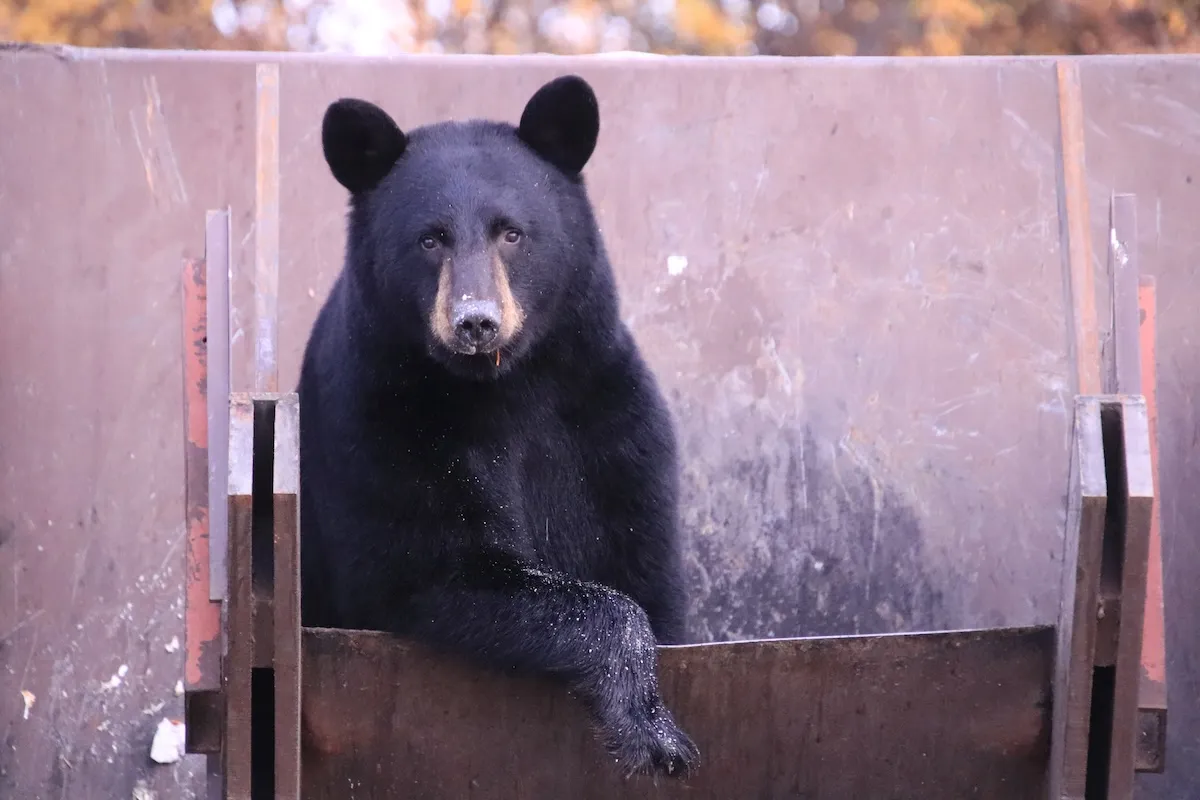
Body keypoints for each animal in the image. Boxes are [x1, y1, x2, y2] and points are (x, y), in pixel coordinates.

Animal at [294, 74, 700, 781]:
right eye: (429, 239)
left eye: (511, 233)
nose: (475, 321)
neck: (508, 387)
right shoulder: (381, 426)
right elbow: (437, 567)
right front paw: (652, 732)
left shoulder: (609, 422)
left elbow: (648, 569)